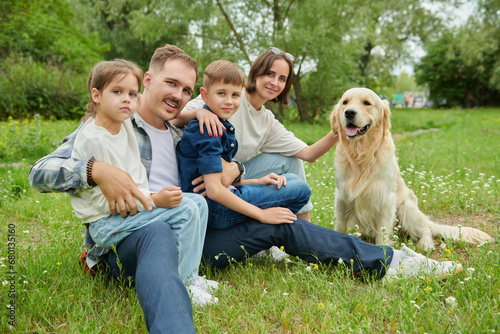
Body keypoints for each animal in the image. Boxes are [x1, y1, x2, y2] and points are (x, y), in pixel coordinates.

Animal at [328, 87, 492, 249]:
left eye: (367, 103)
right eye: (345, 102)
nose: (349, 112)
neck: (361, 156)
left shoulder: (386, 198)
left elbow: (382, 232)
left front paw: (384, 251)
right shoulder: (342, 196)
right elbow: (340, 226)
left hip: (406, 208)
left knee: (426, 229)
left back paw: (425, 244)